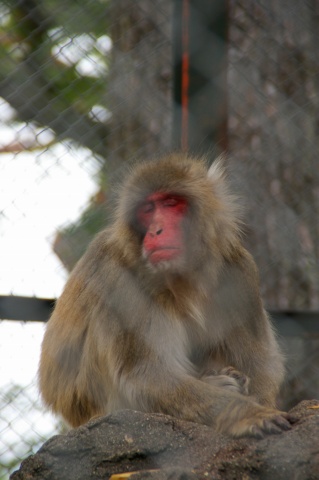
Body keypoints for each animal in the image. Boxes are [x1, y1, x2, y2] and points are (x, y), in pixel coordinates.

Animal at [38, 155, 292, 438]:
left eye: (171, 203)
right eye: (148, 209)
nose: (156, 230)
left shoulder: (240, 269)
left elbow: (260, 366)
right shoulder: (119, 278)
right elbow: (147, 377)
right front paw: (247, 414)